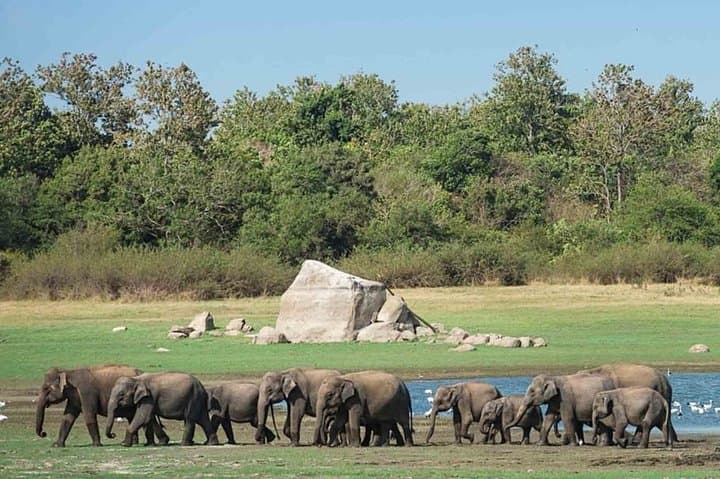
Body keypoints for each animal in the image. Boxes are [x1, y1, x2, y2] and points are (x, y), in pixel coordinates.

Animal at [35, 365, 168, 447]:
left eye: (47, 389)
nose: (44, 433)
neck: (68, 372)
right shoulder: (74, 397)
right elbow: (68, 418)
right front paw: (57, 445)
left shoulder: (86, 393)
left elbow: (89, 415)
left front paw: (96, 445)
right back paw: (136, 442)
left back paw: (158, 442)